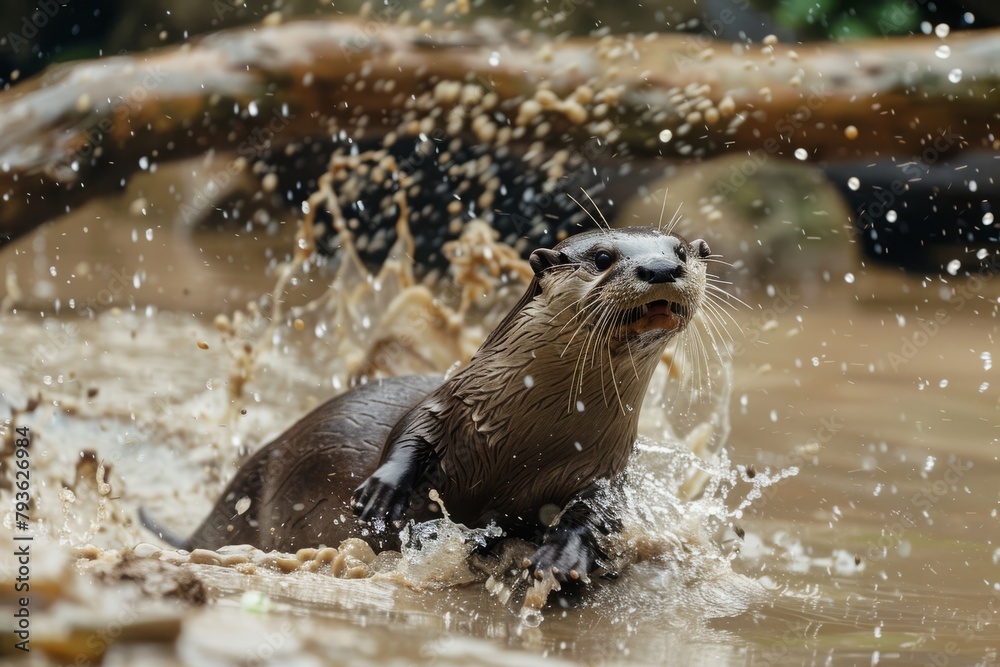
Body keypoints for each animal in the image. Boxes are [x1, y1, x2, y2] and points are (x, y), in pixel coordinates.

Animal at [142, 226, 712, 583]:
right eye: (602, 258)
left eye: (681, 251)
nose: (661, 268)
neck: (539, 435)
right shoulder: (454, 398)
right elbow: (412, 430)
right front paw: (382, 493)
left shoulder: (608, 464)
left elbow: (597, 511)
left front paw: (562, 555)